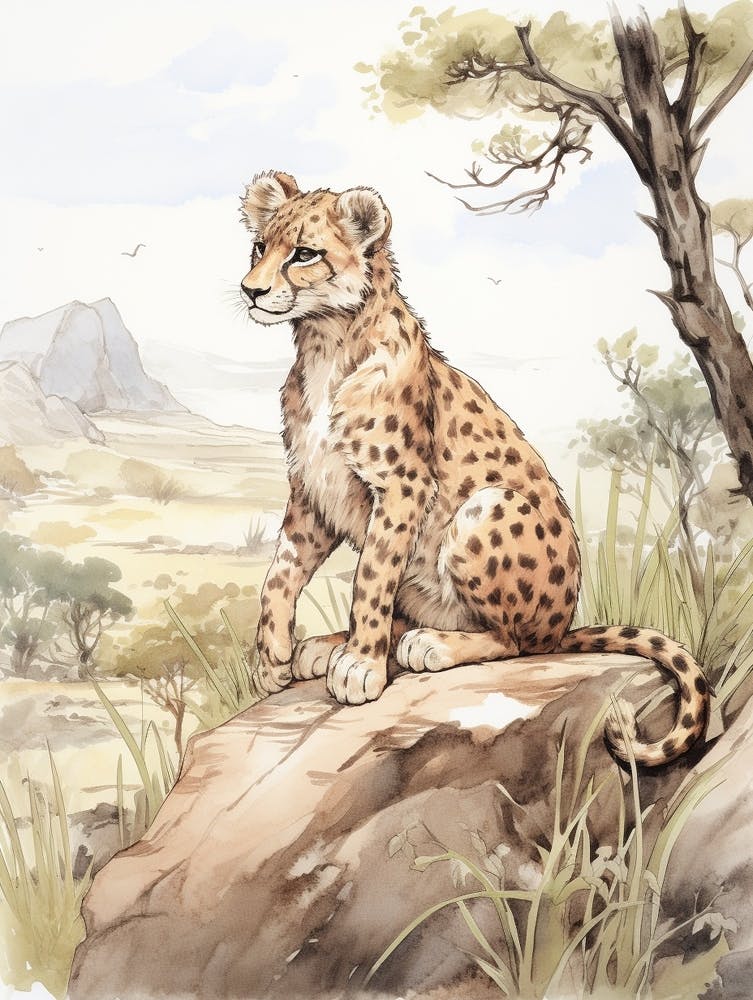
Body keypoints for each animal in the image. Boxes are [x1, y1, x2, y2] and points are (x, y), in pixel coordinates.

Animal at [238, 170, 710, 767]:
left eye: (304, 253)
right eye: (260, 247)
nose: (251, 290)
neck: (325, 342)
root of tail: (564, 626)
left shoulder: (402, 486)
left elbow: (371, 577)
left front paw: (361, 665)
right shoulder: (313, 489)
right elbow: (280, 573)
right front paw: (273, 655)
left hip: (487, 509)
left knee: (516, 642)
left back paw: (424, 645)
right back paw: (328, 645)